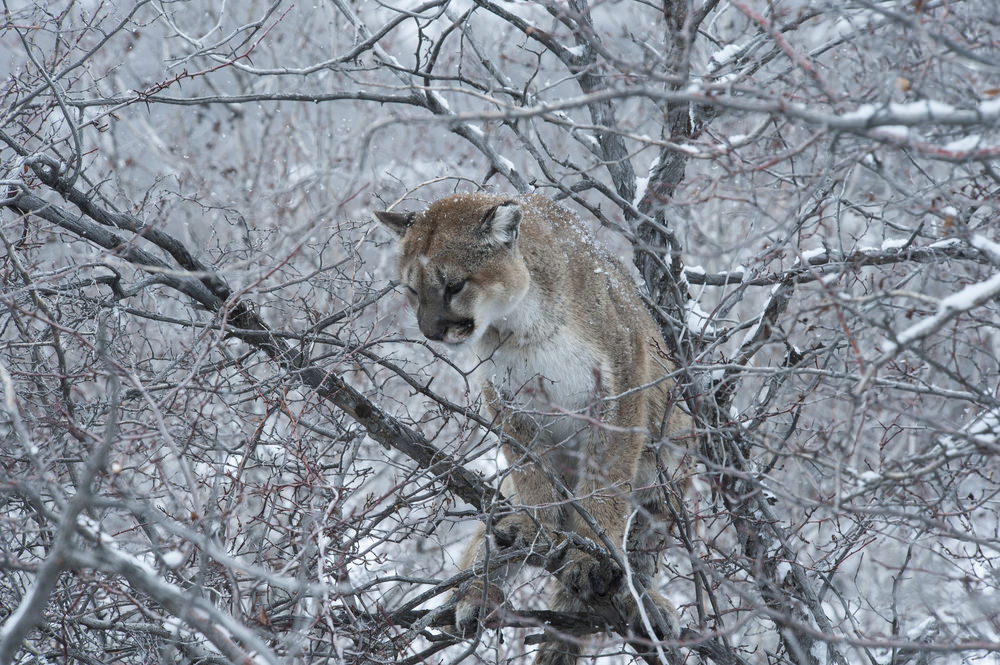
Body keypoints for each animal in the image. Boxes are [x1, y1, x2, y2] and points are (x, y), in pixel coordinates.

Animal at [372, 189, 692, 660]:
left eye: (454, 284)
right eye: (412, 289)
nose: (430, 332)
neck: (522, 326)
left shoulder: (622, 385)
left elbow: (606, 483)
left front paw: (590, 556)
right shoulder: (507, 400)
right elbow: (530, 469)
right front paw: (536, 529)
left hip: (668, 474)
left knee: (642, 552)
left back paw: (643, 604)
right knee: (488, 535)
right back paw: (476, 595)